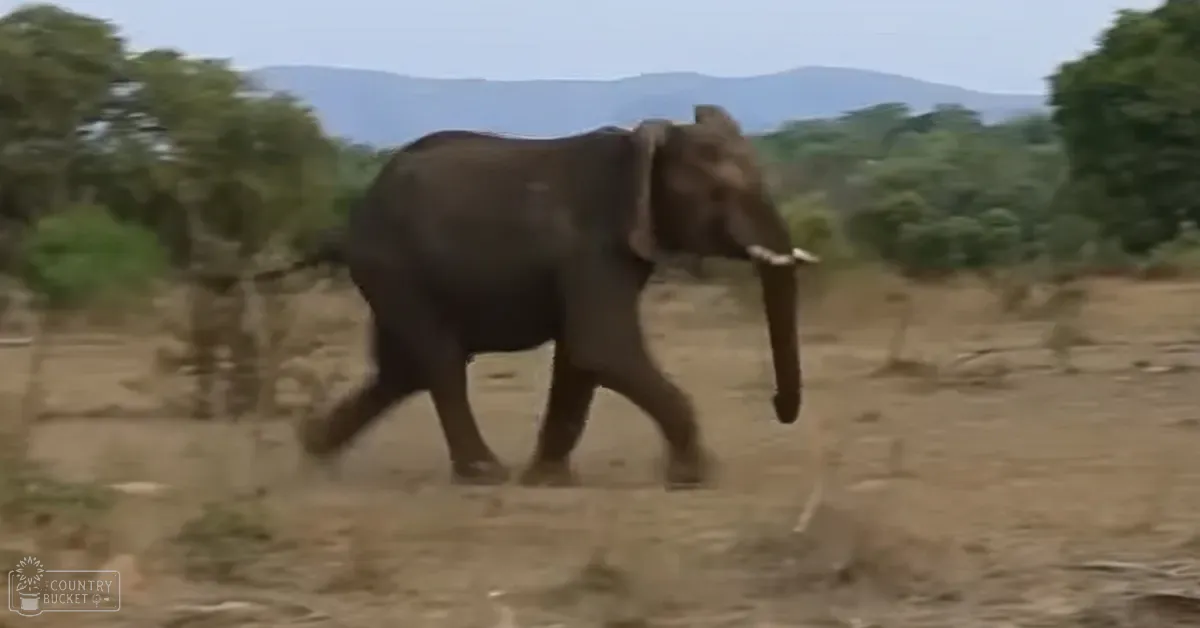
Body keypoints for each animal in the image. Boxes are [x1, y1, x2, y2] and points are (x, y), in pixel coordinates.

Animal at [197, 104, 820, 489]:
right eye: (720, 193)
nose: (778, 407)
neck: (641, 143)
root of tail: (347, 223)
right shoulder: (592, 246)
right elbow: (602, 348)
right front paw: (695, 478)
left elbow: (581, 359)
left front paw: (548, 481)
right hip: (395, 267)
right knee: (439, 360)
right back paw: (482, 473)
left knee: (401, 369)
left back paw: (313, 453)